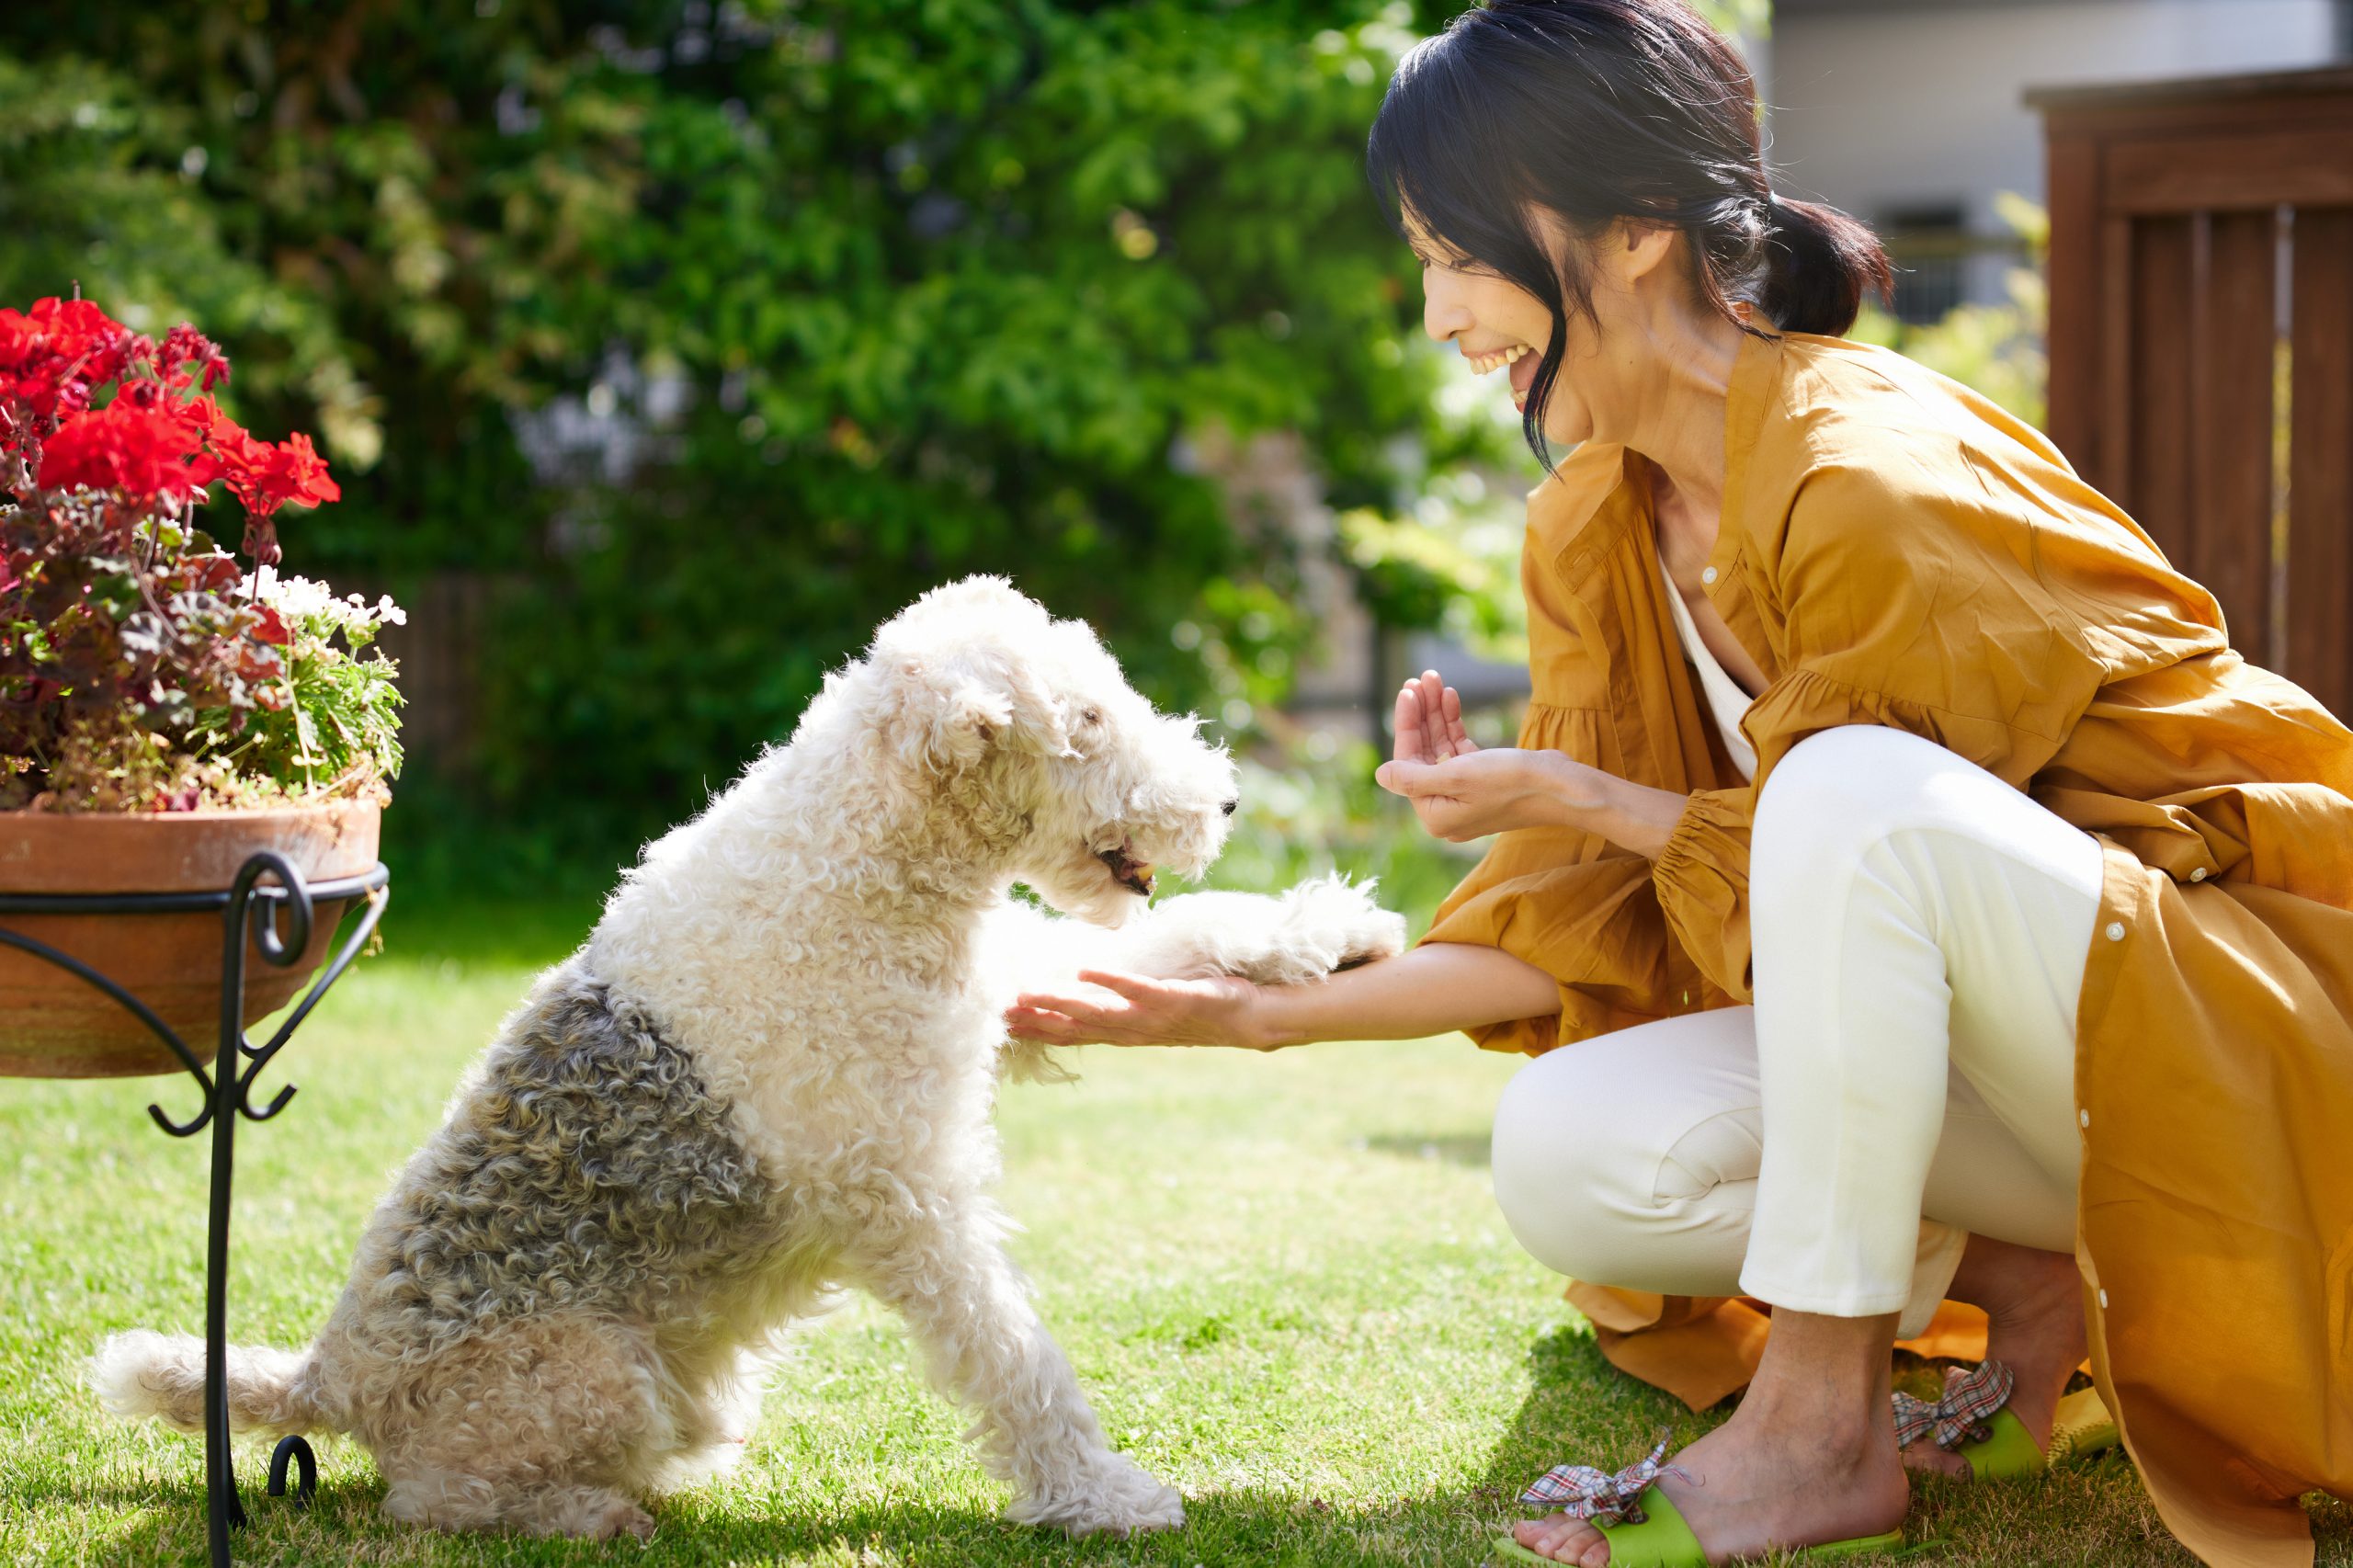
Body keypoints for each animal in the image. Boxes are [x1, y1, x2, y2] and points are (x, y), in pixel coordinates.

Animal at [91, 576, 1402, 1535]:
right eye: (1083, 721)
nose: (1225, 801)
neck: (856, 857)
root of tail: (329, 1366)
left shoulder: (1012, 985)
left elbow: (1174, 934)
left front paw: (1329, 932)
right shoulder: (905, 1193)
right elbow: (1012, 1356)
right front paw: (1104, 1495)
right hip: (586, 1371)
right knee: (432, 1499)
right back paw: (594, 1513)